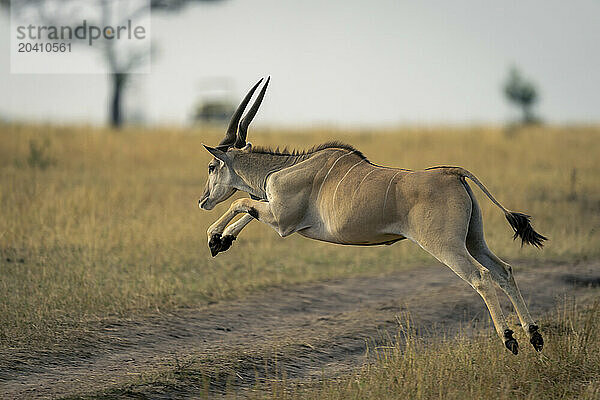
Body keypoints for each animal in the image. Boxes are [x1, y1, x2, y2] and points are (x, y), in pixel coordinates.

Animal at [198, 76, 548, 354]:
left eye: (212, 166)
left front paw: (215, 238)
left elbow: (241, 203)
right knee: (503, 270)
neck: (283, 168)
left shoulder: (283, 221)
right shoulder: (275, 211)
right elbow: (248, 206)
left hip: (447, 247)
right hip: (474, 241)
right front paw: (222, 240)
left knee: (482, 277)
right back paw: (533, 334)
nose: (203, 200)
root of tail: (452, 173)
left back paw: (509, 338)